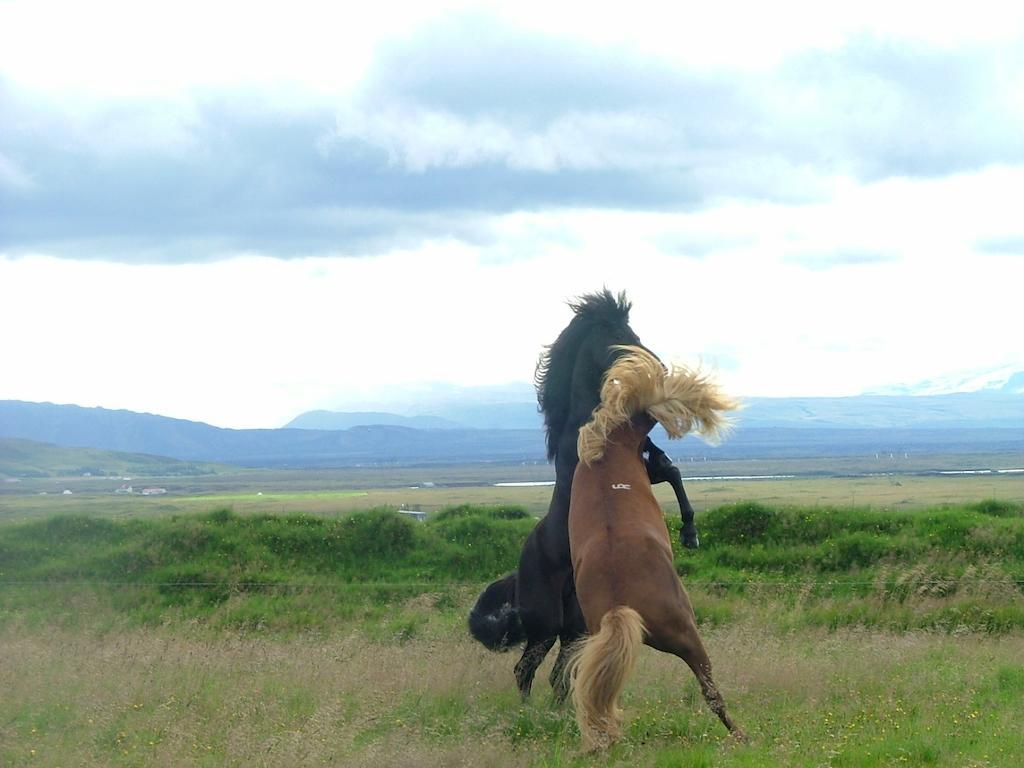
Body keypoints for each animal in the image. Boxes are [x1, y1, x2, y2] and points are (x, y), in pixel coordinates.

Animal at [569, 348, 745, 753]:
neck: (605, 448)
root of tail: (620, 606)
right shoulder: (648, 468)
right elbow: (672, 473)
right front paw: (690, 532)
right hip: (686, 633)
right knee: (710, 689)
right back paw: (742, 734)